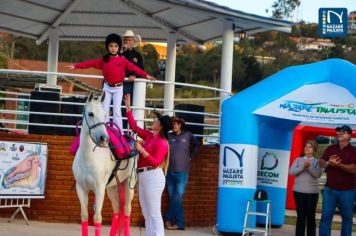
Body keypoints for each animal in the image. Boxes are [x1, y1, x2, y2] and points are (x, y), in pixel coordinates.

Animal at [73, 91, 137, 236]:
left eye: (105, 115)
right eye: (90, 114)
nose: (104, 139)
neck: (88, 158)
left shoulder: (99, 189)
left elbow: (97, 218)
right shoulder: (81, 189)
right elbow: (84, 216)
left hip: (129, 184)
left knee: (127, 211)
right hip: (112, 188)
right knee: (117, 210)